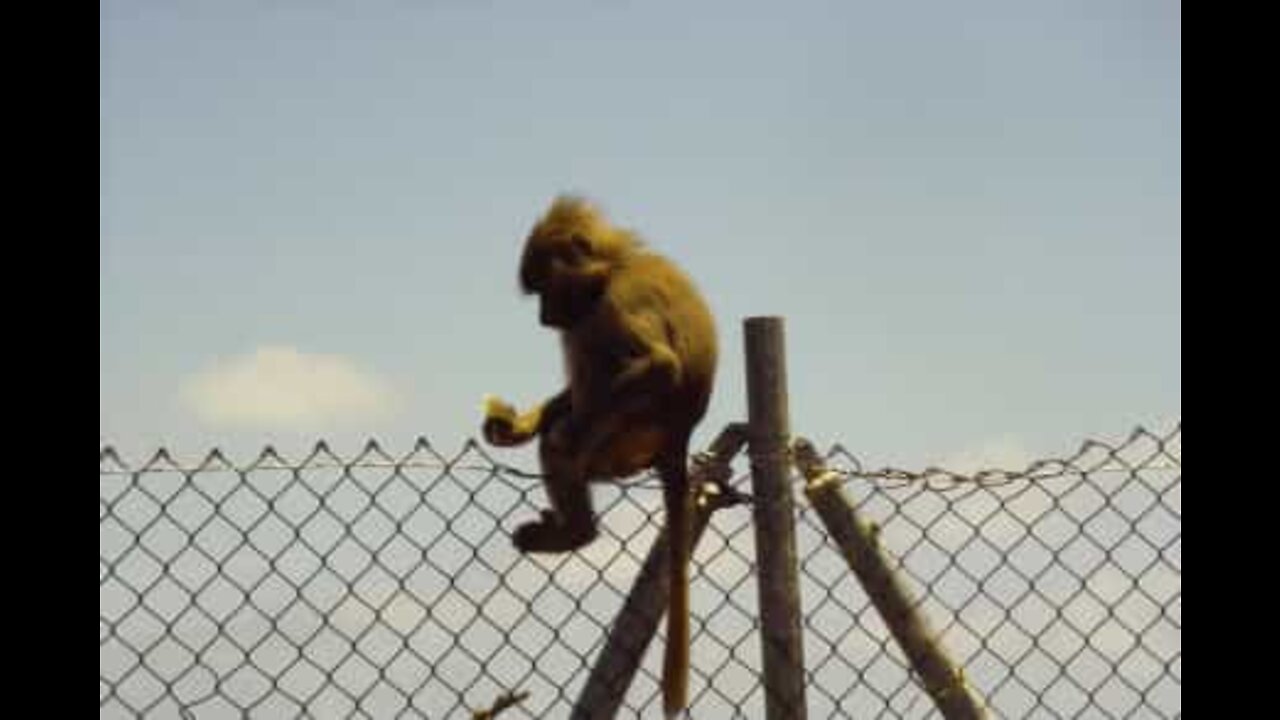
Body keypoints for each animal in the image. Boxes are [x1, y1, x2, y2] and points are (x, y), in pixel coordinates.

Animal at [481, 196, 716, 717]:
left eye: (544, 288)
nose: (544, 318)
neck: (614, 267)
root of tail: (678, 440)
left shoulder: (615, 301)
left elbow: (658, 365)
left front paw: (562, 431)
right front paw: (517, 426)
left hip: (626, 441)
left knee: (578, 392)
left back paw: (576, 531)